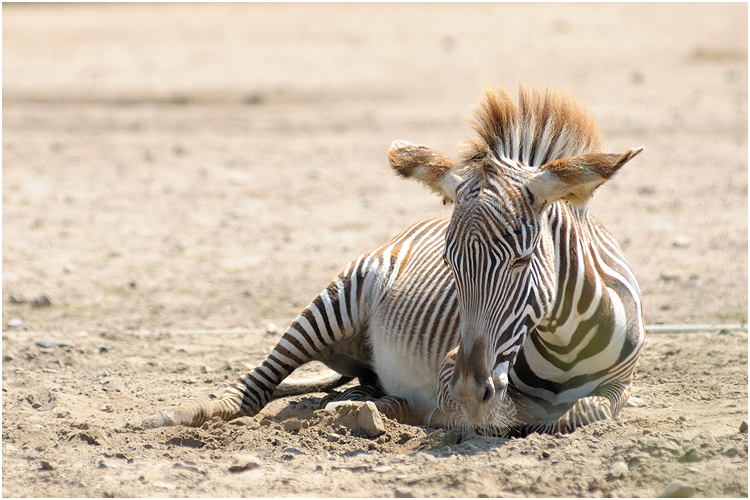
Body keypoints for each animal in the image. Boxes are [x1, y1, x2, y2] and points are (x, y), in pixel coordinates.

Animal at [142, 84, 648, 436]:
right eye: (451, 264)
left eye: (522, 261)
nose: (470, 391)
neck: (565, 345)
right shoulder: (451, 369)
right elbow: (496, 412)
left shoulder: (622, 384)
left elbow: (582, 412)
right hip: (336, 301)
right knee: (255, 387)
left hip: (365, 360)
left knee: (361, 388)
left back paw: (354, 404)